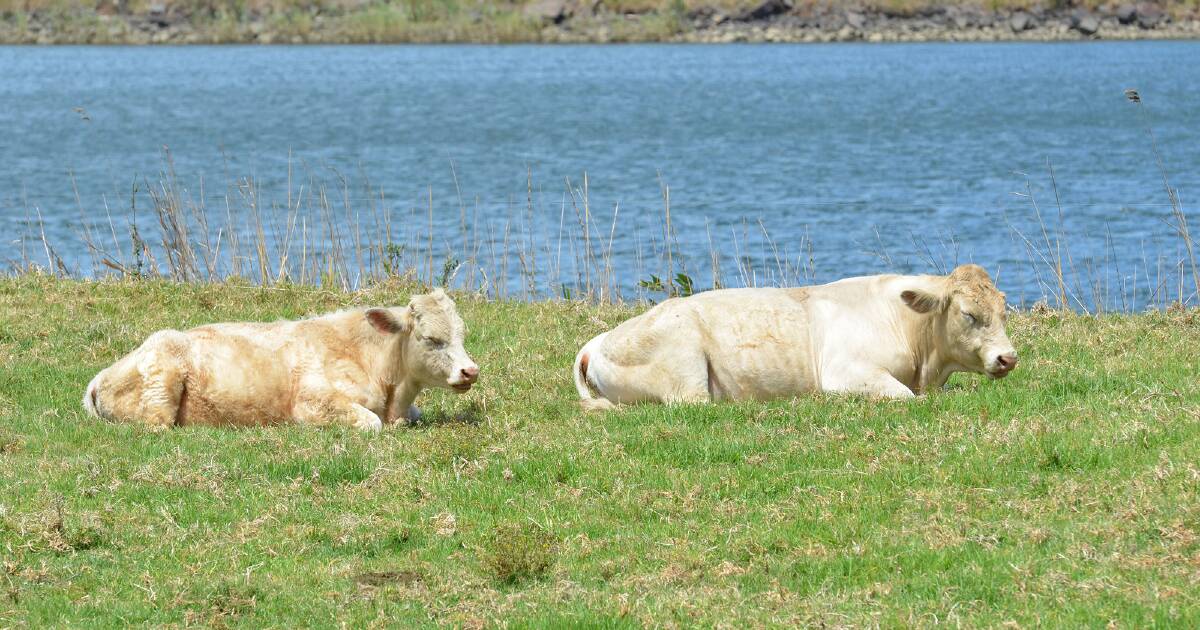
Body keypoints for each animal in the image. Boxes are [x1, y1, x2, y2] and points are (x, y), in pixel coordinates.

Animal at [81, 286, 477, 429]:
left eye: (462, 334)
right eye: (431, 339)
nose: (470, 370)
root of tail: (99, 378)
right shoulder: (313, 402)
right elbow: (371, 422)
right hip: (160, 392)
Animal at [571, 260, 1012, 408]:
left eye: (1004, 310)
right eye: (970, 314)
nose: (1008, 358)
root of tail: (597, 342)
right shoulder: (846, 374)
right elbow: (905, 397)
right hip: (686, 371)